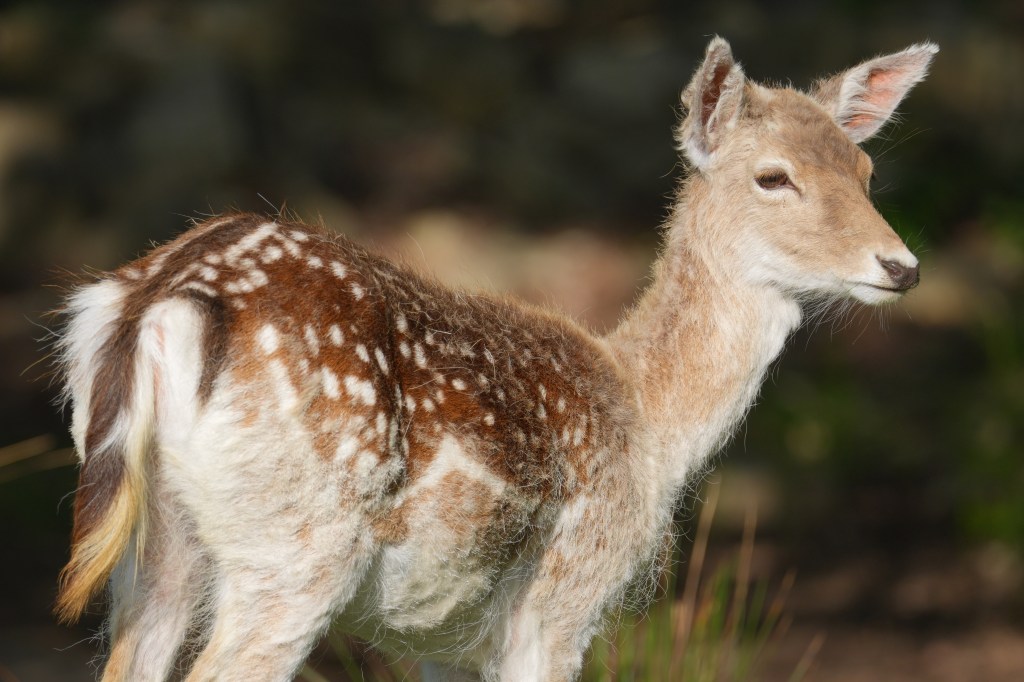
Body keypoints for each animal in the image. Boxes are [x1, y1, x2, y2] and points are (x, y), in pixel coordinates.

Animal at [54, 37, 936, 681]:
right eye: (773, 177)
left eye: (866, 170)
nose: (901, 265)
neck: (650, 426)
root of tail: (157, 301)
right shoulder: (563, 599)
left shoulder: (439, 639)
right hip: (297, 544)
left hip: (158, 546)